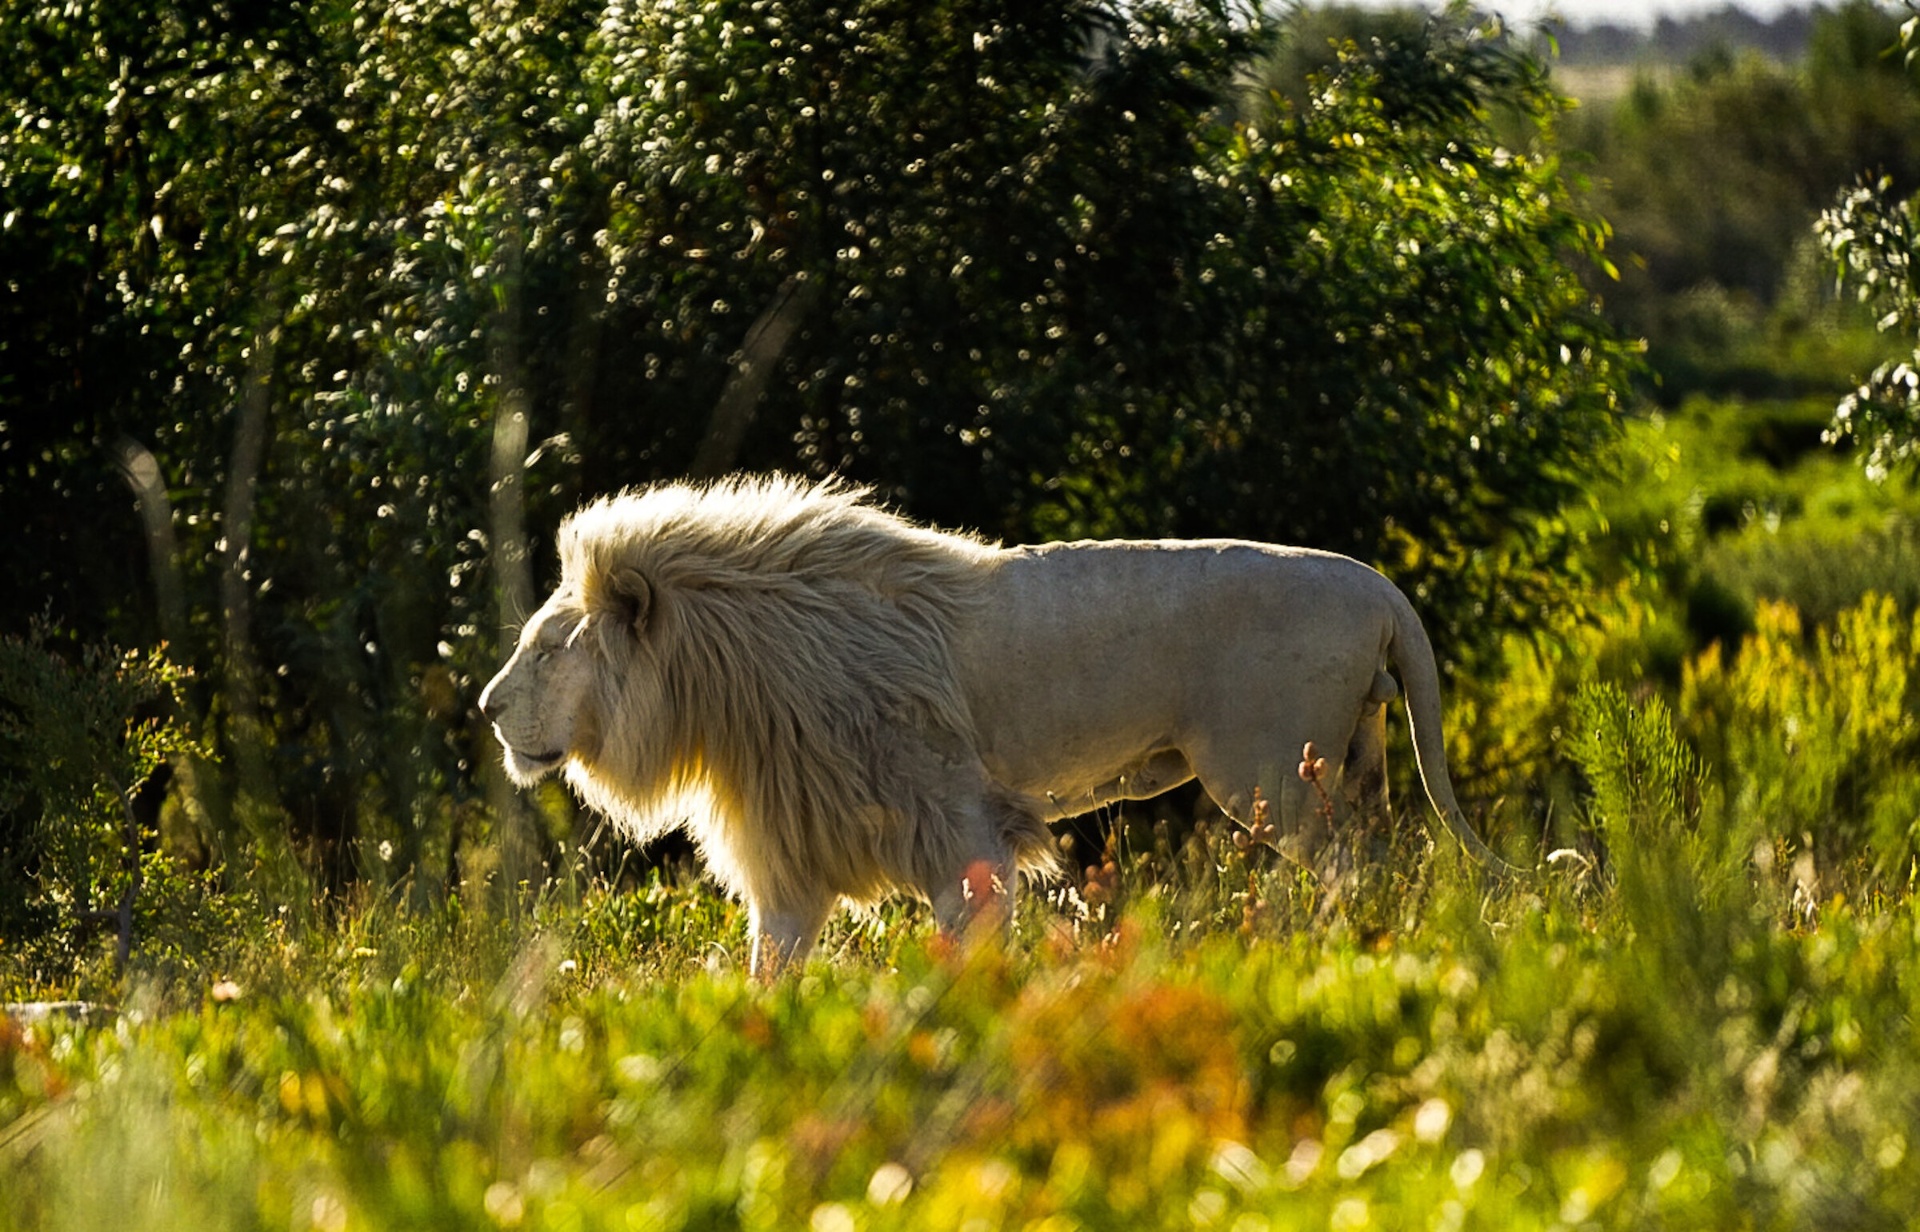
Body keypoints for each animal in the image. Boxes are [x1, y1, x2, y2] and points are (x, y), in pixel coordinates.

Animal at [478, 475, 1500, 975]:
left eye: (548, 650)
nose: (487, 709)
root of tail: (1379, 587)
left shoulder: (956, 824)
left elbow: (962, 943)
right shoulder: (794, 858)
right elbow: (767, 967)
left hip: (1277, 779)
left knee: (1354, 875)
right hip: (1351, 770)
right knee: (1387, 865)